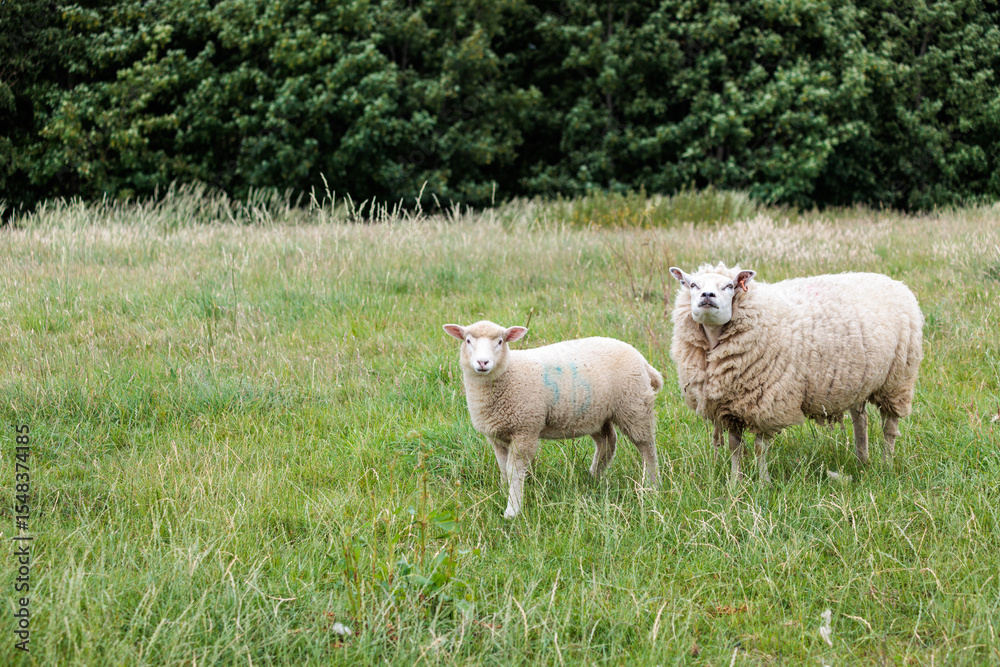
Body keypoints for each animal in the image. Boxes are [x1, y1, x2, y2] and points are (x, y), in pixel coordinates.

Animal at [443, 320, 663, 518]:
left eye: (500, 341)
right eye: (468, 340)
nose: (483, 363)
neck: (509, 373)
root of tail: (642, 360)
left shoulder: (526, 429)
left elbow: (515, 471)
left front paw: (512, 510)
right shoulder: (497, 436)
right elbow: (503, 468)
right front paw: (503, 492)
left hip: (634, 406)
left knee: (647, 447)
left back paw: (652, 484)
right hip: (595, 413)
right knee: (608, 441)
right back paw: (594, 476)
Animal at [669, 263, 923, 486]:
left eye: (730, 286)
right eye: (692, 284)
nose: (707, 295)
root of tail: (892, 281)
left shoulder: (766, 402)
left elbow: (760, 447)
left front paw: (763, 484)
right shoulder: (729, 405)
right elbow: (735, 447)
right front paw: (735, 483)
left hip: (896, 380)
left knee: (889, 427)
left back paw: (886, 463)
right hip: (857, 381)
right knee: (861, 421)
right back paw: (862, 460)